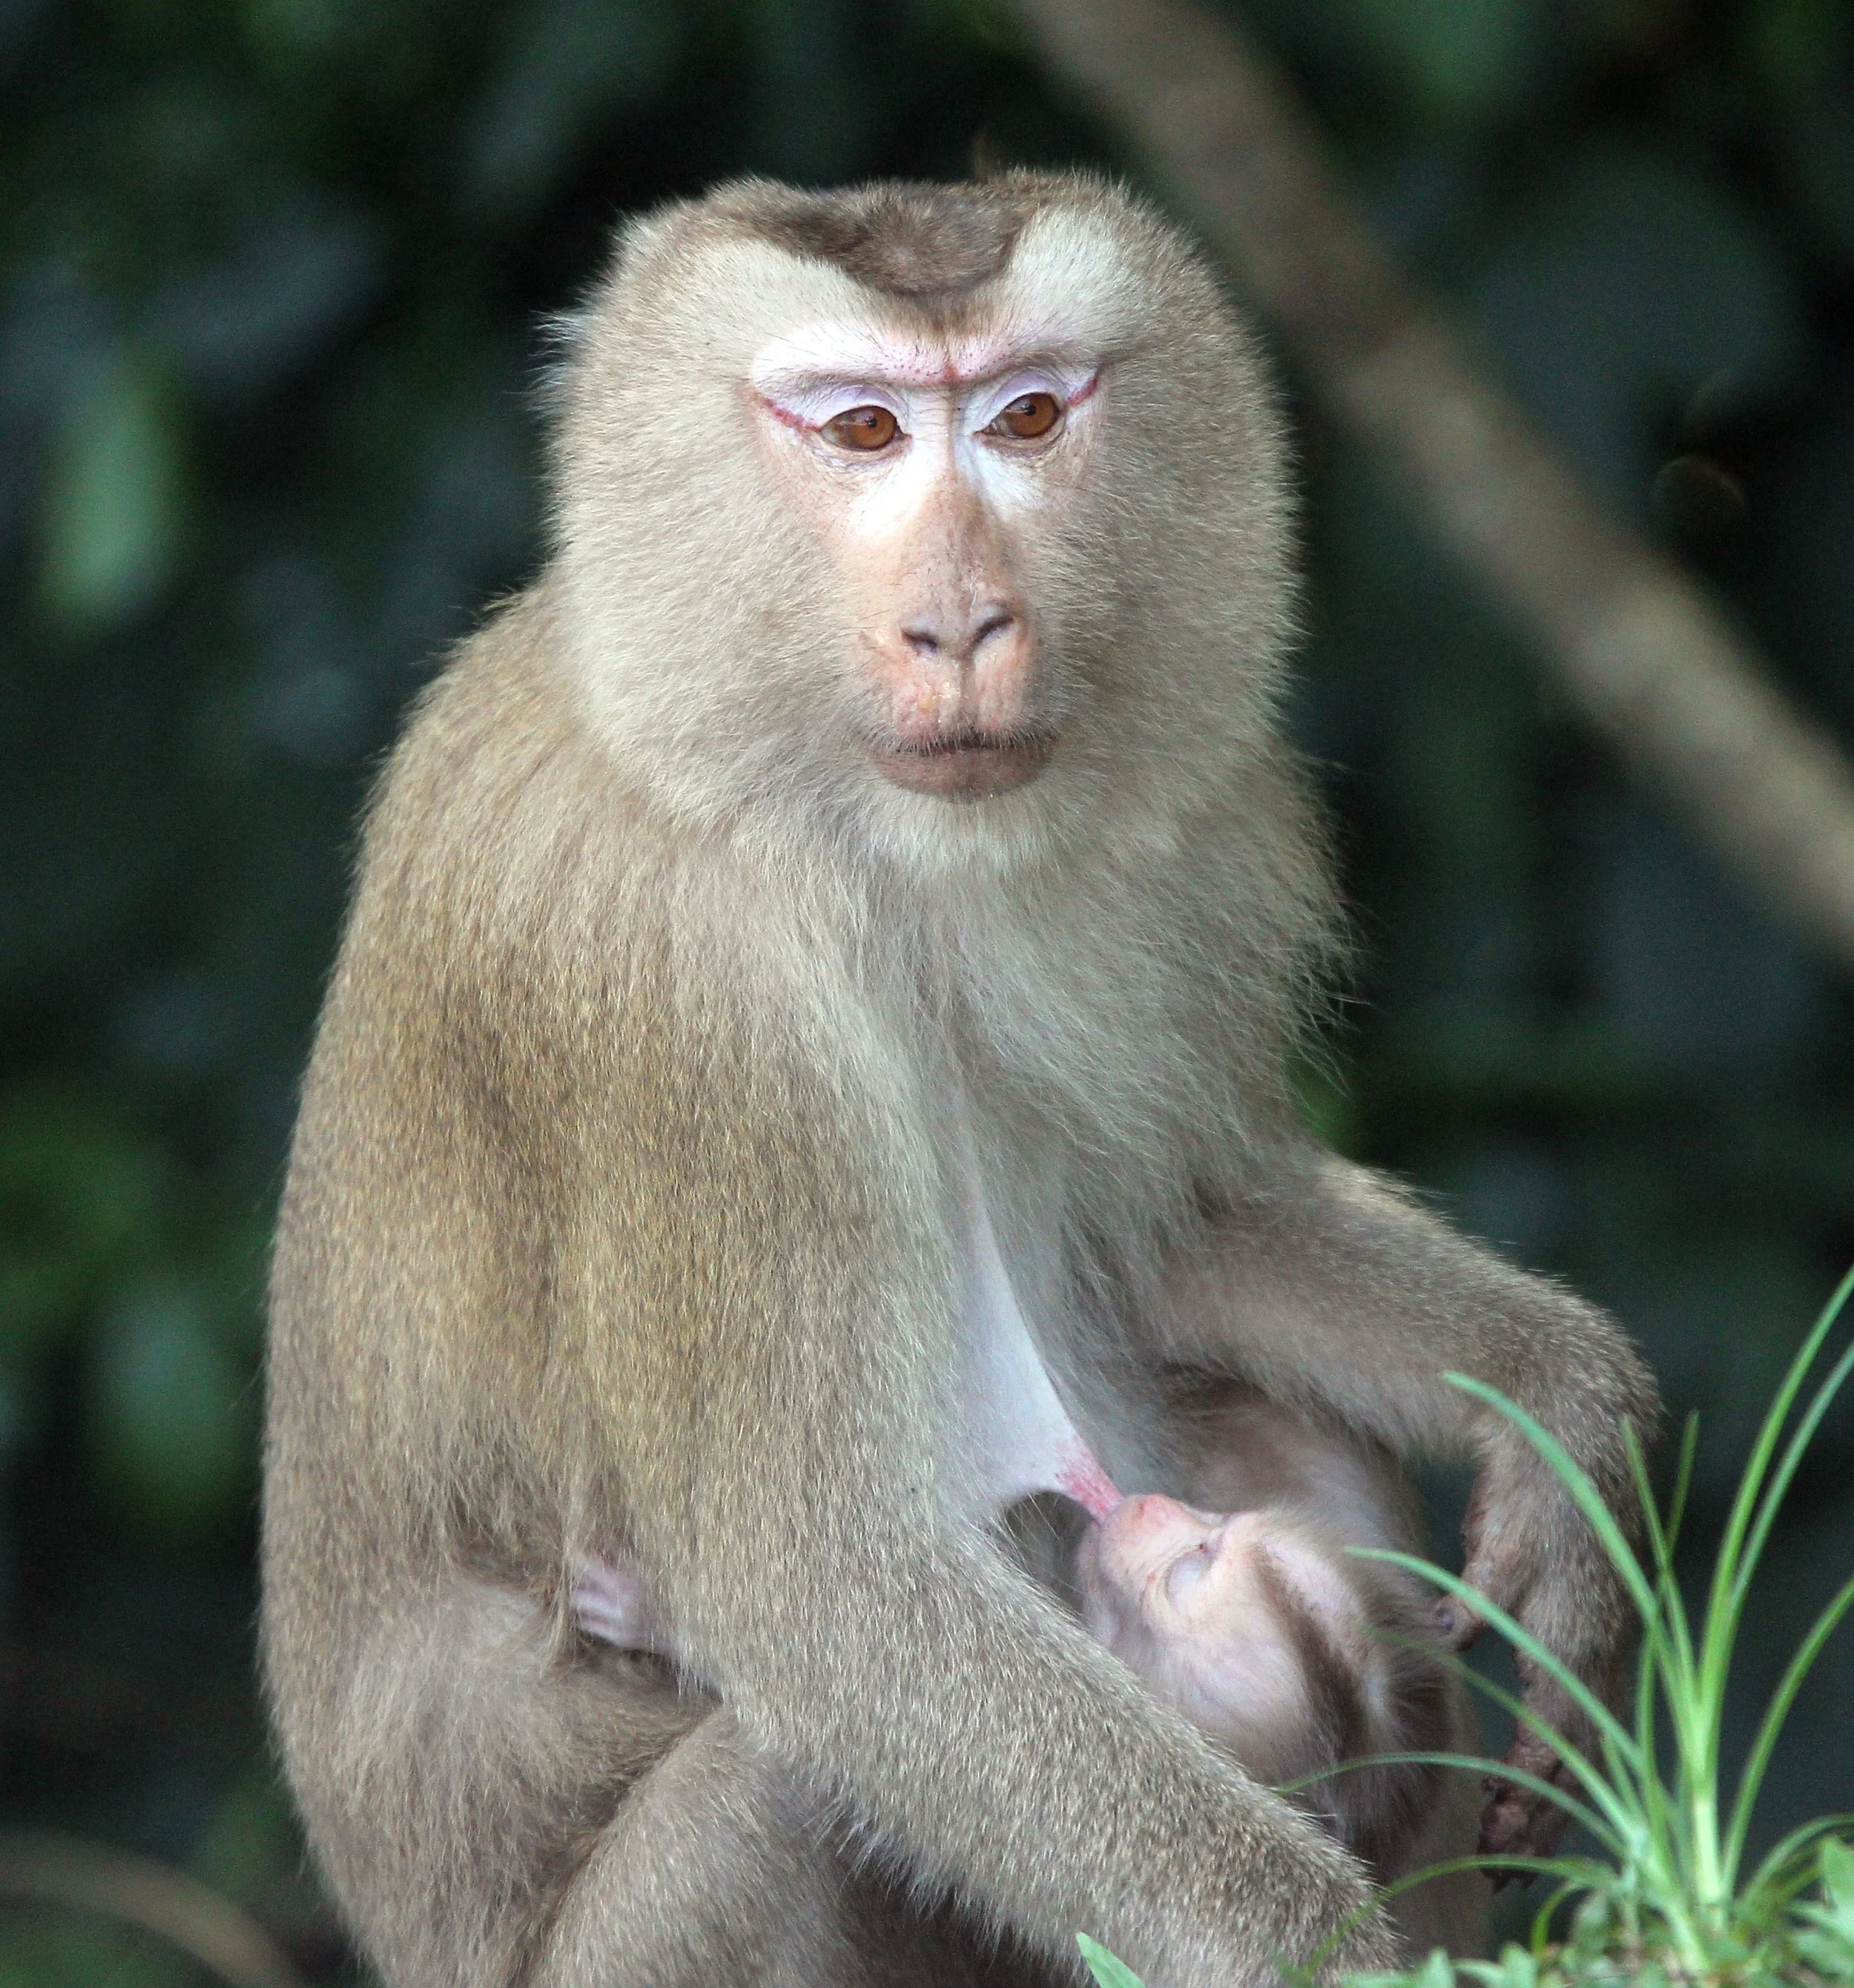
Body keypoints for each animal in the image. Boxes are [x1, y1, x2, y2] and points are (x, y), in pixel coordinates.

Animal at [261, 172, 1658, 1988]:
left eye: (1027, 416)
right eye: (860, 427)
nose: (964, 620)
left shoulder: (1186, 863)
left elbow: (1179, 1222)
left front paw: (1562, 1417)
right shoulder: (682, 999)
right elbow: (823, 1589)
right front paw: (1316, 1946)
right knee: (781, 1796)